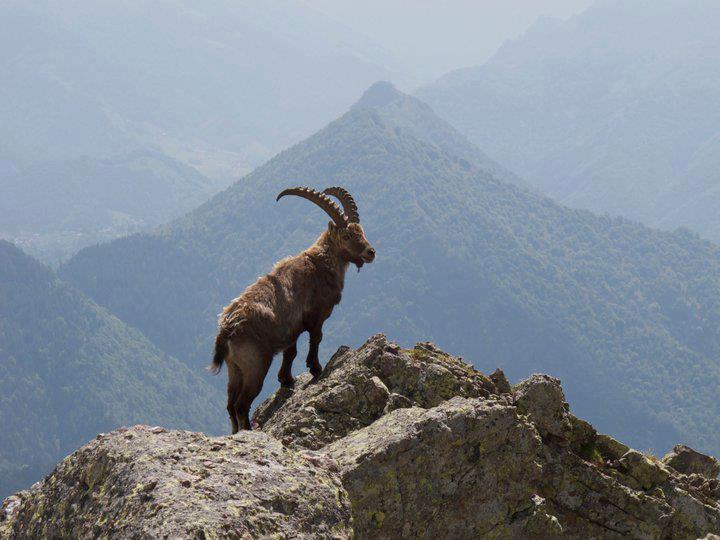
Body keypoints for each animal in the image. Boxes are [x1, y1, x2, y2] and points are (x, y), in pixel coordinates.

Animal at [209, 186, 376, 433]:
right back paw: (250, 431)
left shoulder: (292, 330)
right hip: (255, 366)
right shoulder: (316, 316)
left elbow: (291, 352)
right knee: (241, 405)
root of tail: (227, 331)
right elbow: (315, 339)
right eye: (346, 236)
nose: (370, 252)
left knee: (230, 405)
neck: (321, 263)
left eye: (361, 231)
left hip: (235, 368)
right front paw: (316, 369)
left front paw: (286, 380)